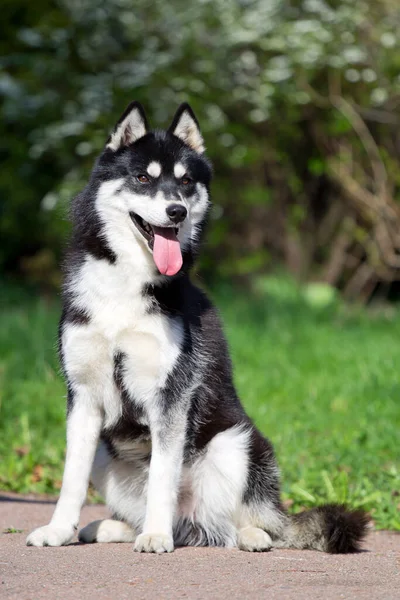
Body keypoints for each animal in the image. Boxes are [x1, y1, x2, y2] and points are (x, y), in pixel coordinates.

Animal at [26, 102, 368, 552]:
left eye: (186, 181)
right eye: (143, 177)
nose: (177, 211)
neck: (127, 285)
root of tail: (191, 523)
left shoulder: (171, 395)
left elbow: (162, 477)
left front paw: (155, 536)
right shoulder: (83, 397)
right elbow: (71, 479)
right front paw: (59, 530)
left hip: (237, 443)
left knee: (243, 526)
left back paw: (246, 535)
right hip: (108, 450)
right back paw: (110, 527)